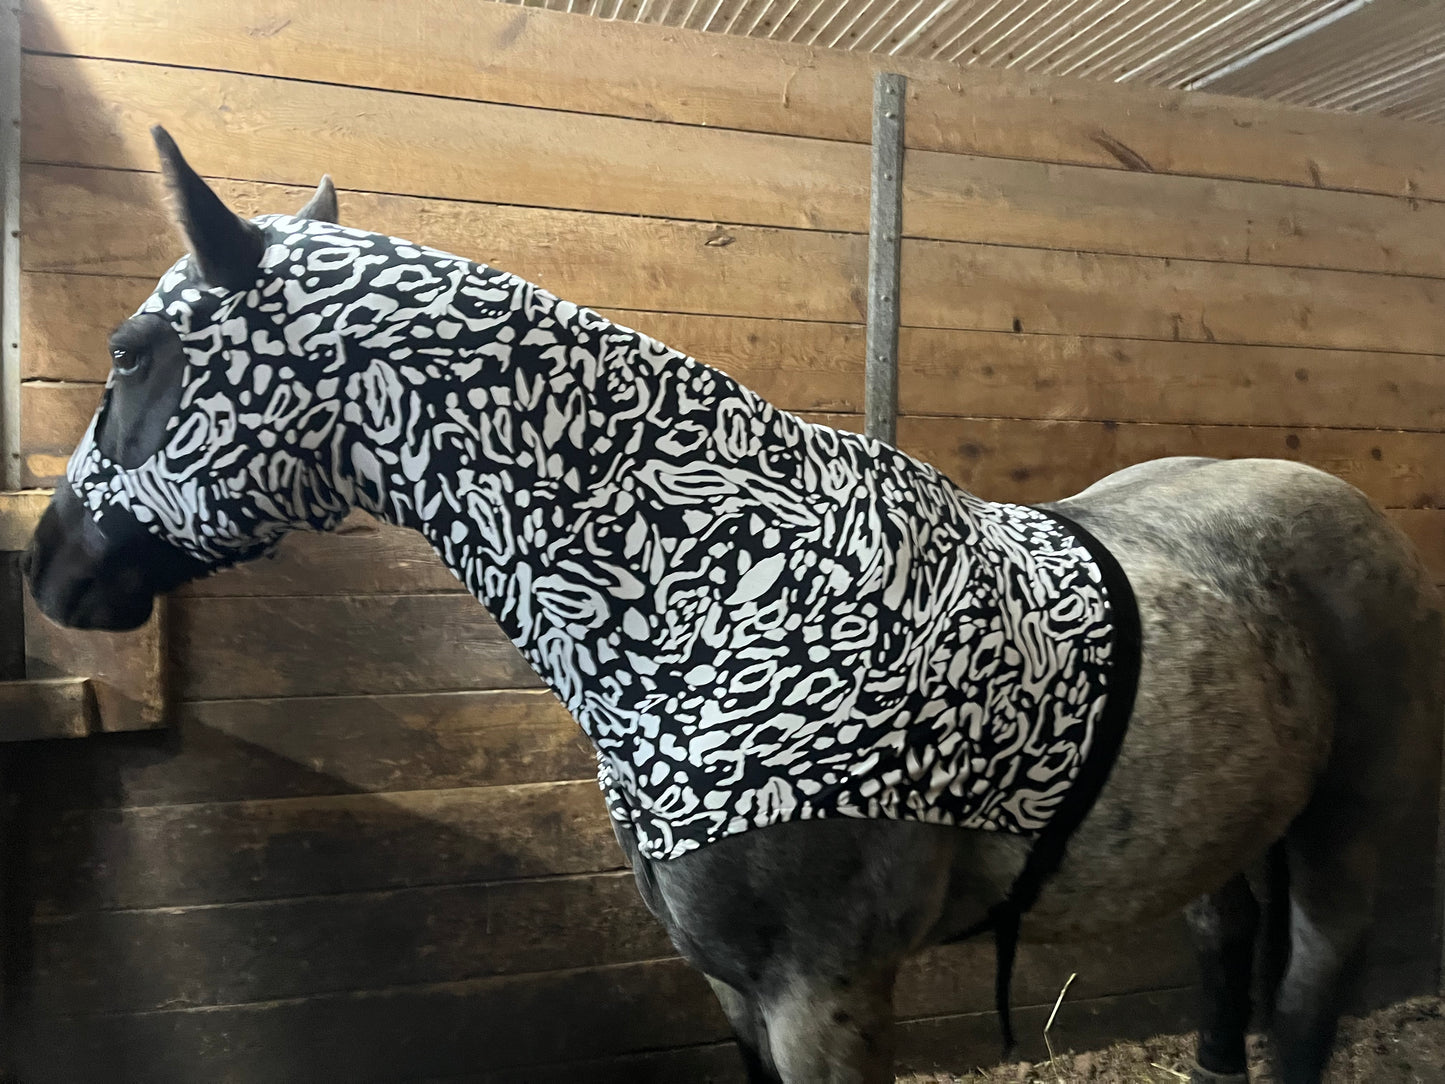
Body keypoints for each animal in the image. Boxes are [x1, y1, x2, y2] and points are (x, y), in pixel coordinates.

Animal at [23, 128, 1442, 1084]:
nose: (47, 568)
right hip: (1230, 820)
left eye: (131, 355)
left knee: (1309, 981)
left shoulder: (827, 990)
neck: (715, 595)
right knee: (1222, 943)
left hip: (1342, 819)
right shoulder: (731, 988)